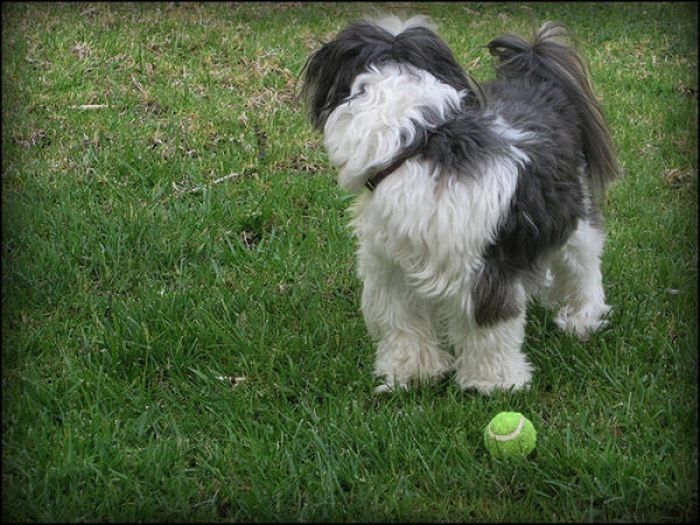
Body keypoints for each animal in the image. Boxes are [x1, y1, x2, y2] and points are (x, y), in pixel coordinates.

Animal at [300, 14, 616, 392]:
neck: (419, 143)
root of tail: (536, 77)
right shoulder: (391, 267)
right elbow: (402, 323)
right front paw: (411, 373)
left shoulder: (483, 274)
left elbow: (488, 331)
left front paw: (494, 383)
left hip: (572, 215)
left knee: (583, 266)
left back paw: (582, 317)